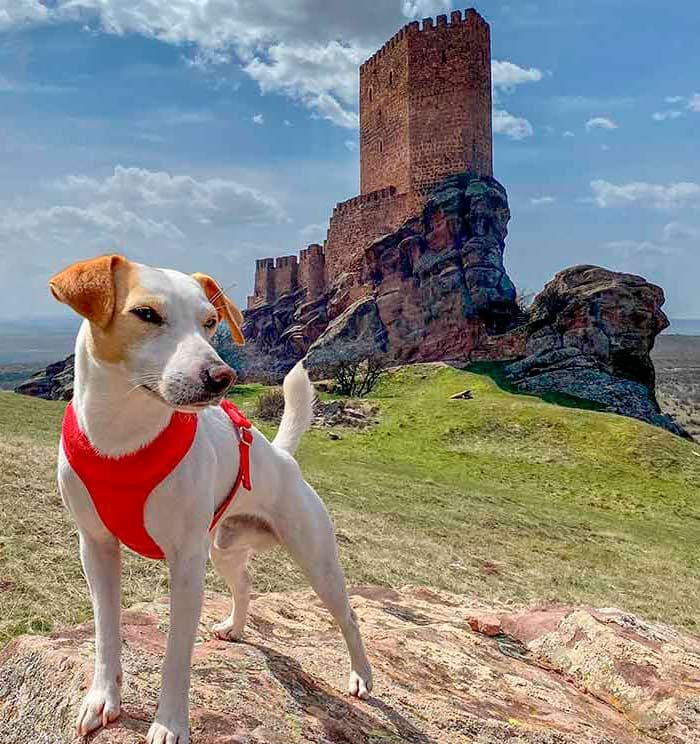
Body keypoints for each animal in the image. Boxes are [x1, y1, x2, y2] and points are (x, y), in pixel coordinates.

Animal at [50, 256, 372, 744]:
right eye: (146, 314)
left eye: (210, 323)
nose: (223, 377)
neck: (123, 437)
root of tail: (279, 454)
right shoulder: (96, 547)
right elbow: (106, 632)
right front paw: (103, 698)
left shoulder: (185, 561)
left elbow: (176, 654)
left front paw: (169, 723)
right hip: (222, 547)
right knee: (244, 583)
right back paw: (235, 628)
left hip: (315, 559)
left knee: (349, 616)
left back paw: (361, 676)